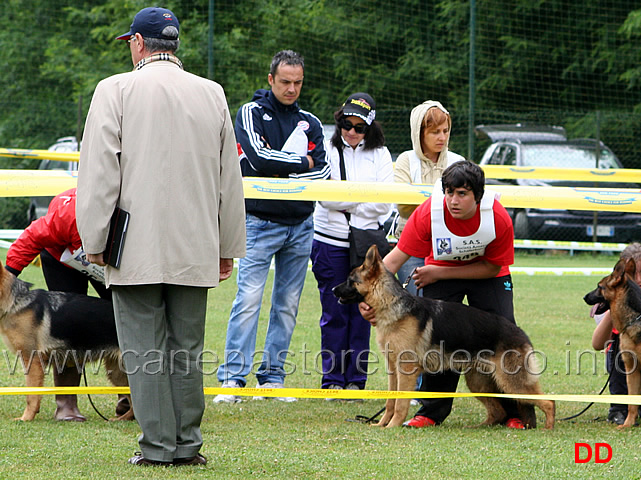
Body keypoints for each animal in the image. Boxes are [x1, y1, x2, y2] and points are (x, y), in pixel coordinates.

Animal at [0, 260, 132, 422]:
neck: (14, 302)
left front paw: (26, 418)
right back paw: (122, 419)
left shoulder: (32, 361)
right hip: (117, 373)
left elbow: (31, 395)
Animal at [332, 246, 552, 430]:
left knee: (549, 402)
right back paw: (480, 427)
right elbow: (390, 402)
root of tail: (521, 333)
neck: (392, 304)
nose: (333, 289)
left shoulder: (406, 371)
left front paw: (392, 426)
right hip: (479, 383)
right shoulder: (393, 370)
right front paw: (381, 425)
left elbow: (400, 403)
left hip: (512, 383)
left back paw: (548, 428)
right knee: (498, 411)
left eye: (350, 280)